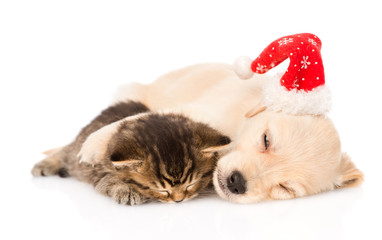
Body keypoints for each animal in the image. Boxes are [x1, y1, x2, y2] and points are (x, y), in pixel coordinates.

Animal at [31, 101, 228, 204]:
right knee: (66, 152)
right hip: (78, 150)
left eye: (191, 184)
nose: (178, 200)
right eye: (162, 190)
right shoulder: (96, 167)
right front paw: (126, 190)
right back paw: (44, 165)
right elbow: (108, 178)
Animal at [80, 62, 362, 202]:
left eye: (285, 188)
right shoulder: (195, 112)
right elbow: (140, 119)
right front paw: (93, 145)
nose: (236, 183)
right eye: (266, 140)